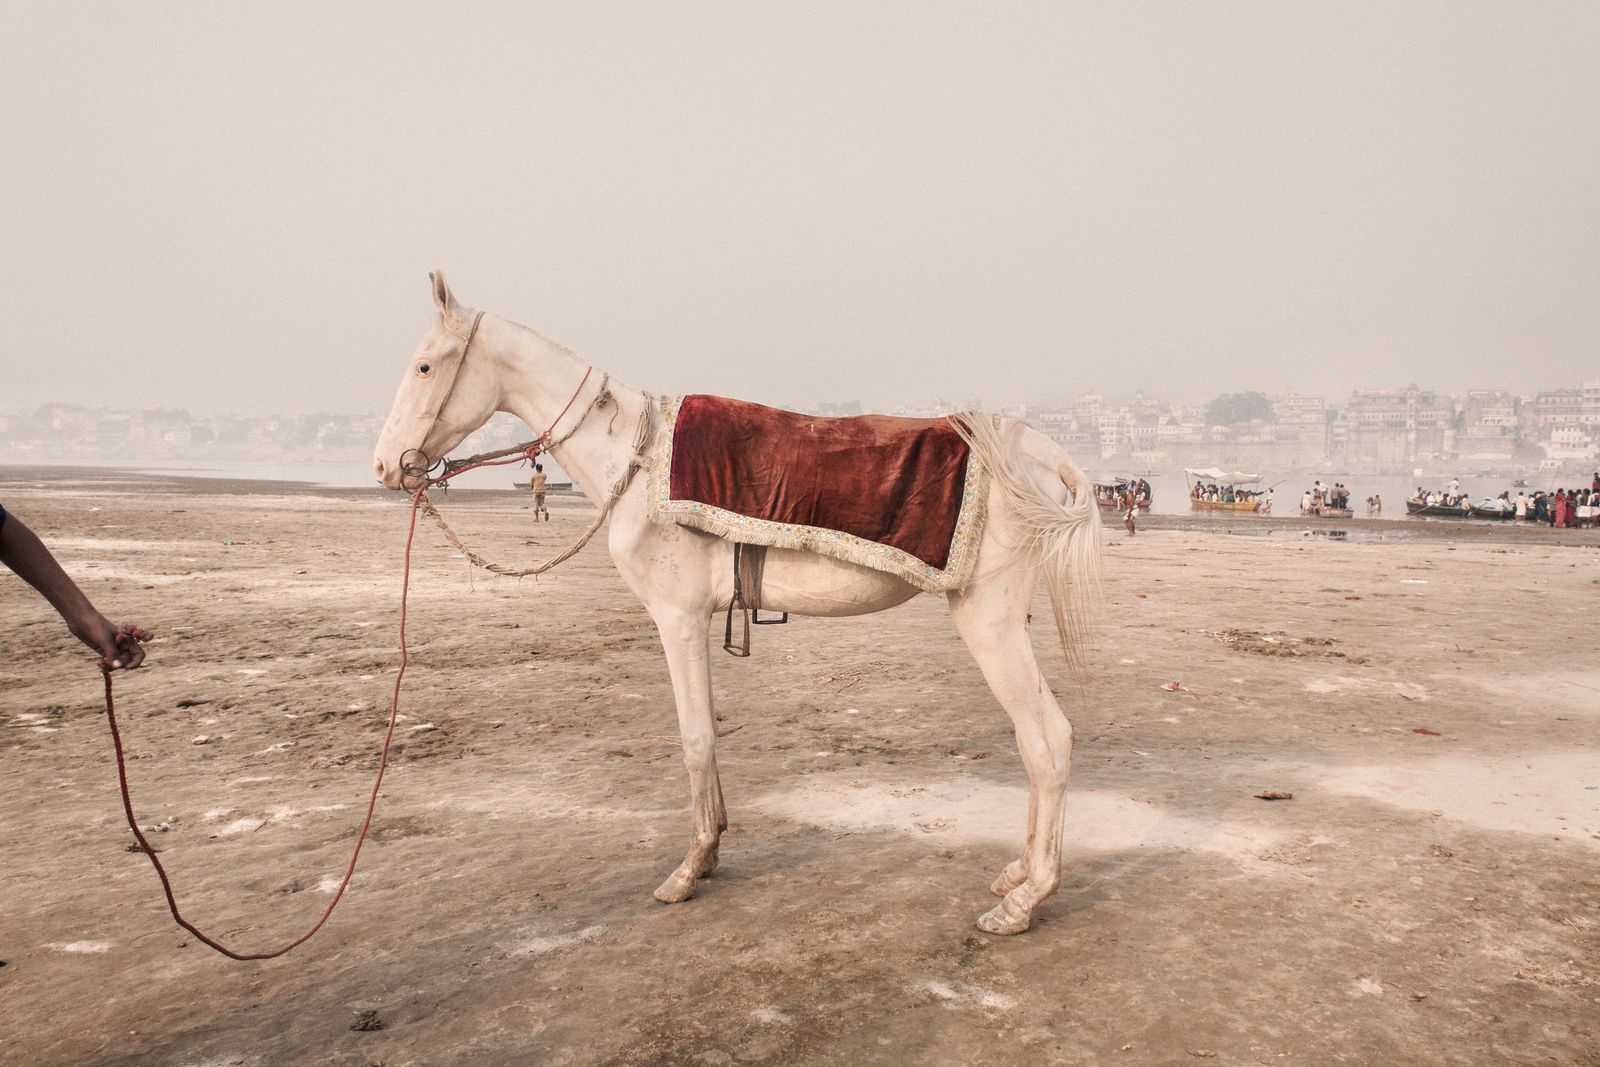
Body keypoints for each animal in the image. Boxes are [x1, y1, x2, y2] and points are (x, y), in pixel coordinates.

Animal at [372, 273, 1100, 934]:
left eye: (425, 365)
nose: (384, 465)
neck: (632, 457)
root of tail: (1041, 451)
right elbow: (708, 732)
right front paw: (715, 845)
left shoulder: (678, 617)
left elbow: (695, 735)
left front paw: (691, 866)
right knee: (1032, 738)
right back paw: (1017, 871)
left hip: (987, 618)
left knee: (1048, 738)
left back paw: (1026, 898)